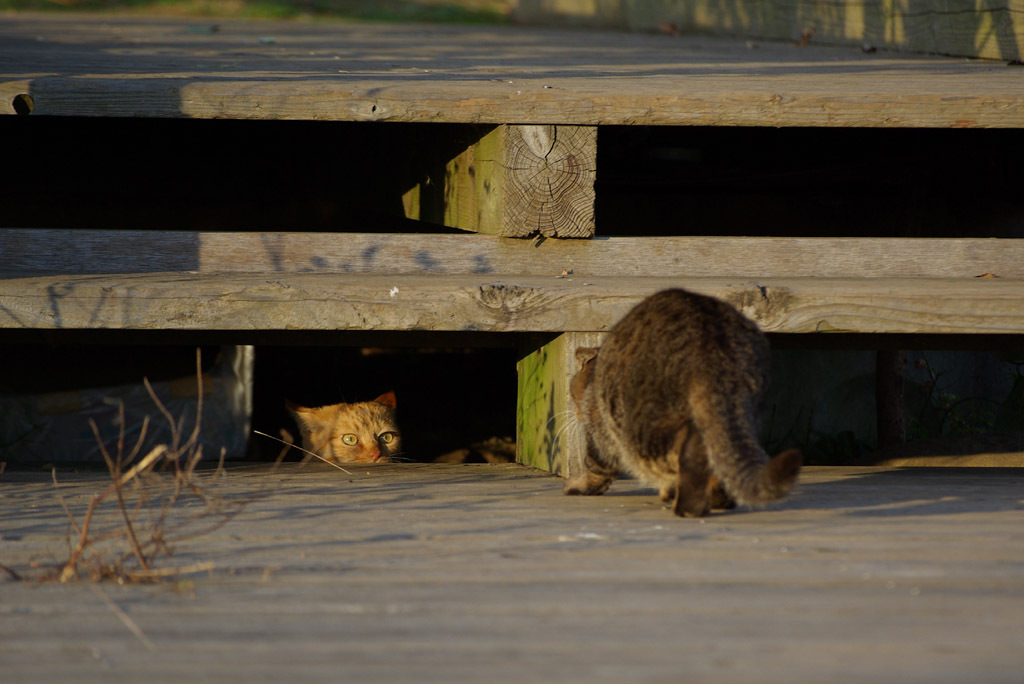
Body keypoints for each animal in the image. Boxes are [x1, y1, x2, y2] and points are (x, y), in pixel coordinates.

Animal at [569, 288, 798, 518]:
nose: (575, 413)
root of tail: (710, 338)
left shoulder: (600, 430)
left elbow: (595, 464)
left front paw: (579, 485)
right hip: (744, 412)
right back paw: (716, 498)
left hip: (643, 427)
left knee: (692, 451)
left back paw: (688, 506)